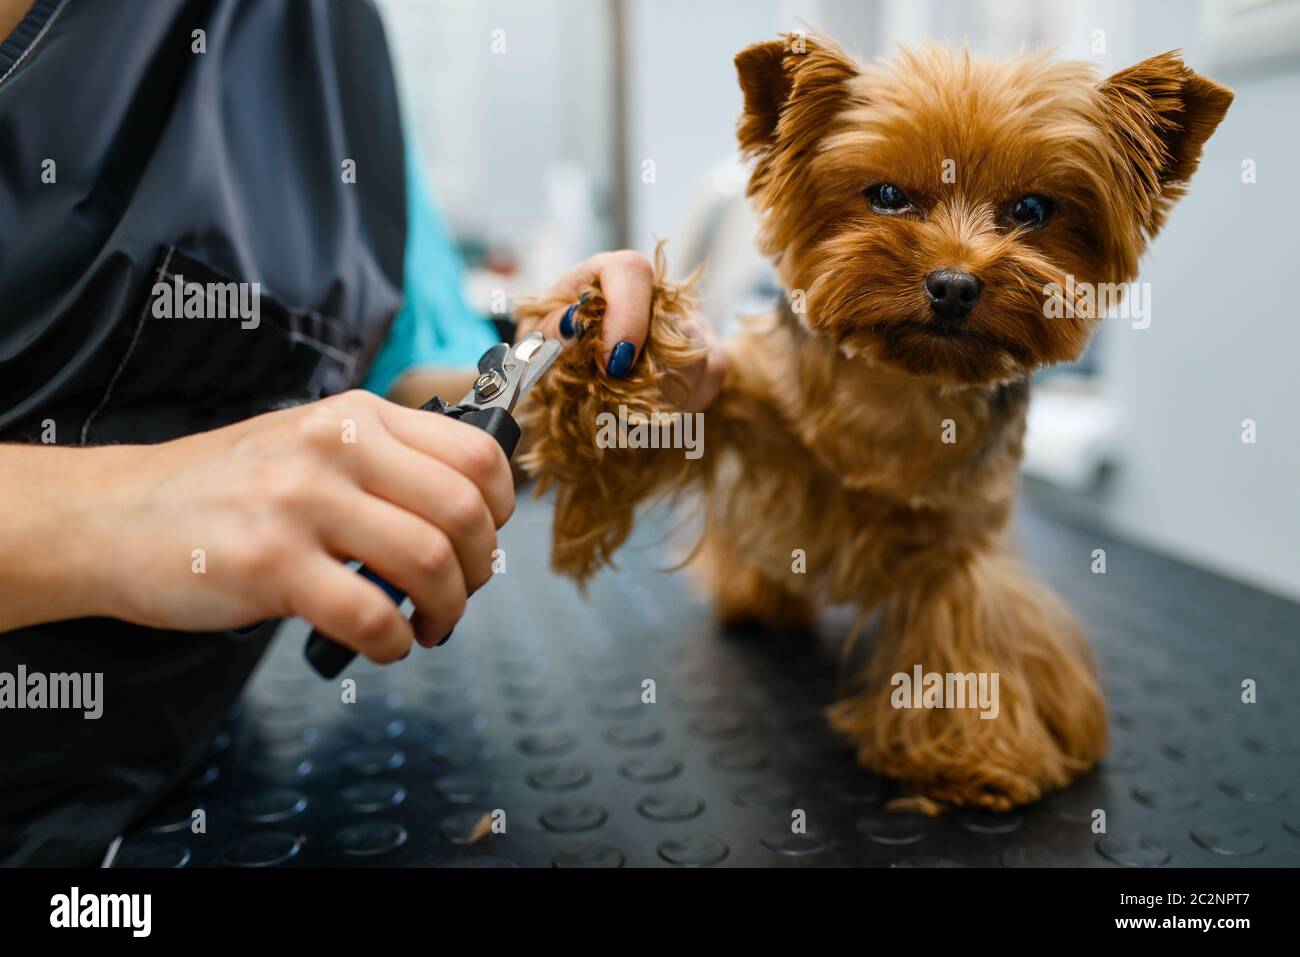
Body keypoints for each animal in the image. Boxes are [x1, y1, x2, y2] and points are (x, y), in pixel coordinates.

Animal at [509, 33, 1227, 806]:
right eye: (887, 196)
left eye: (1032, 209)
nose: (953, 284)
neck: (903, 387)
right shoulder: (746, 418)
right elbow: (673, 414)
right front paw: (603, 342)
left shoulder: (958, 538)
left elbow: (969, 635)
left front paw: (971, 752)